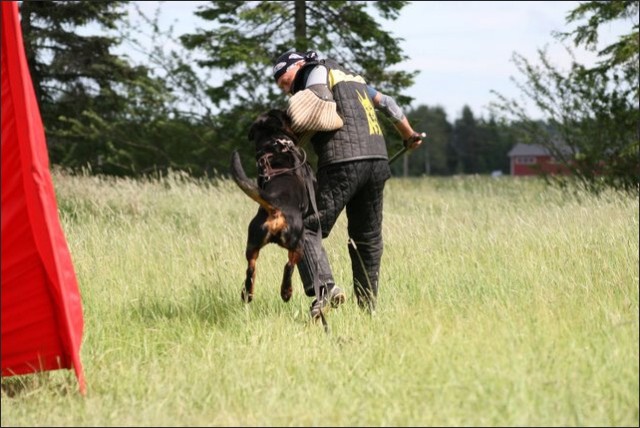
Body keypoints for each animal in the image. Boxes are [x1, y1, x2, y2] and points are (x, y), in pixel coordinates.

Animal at [230, 109, 312, 304]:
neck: (273, 143)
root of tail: (275, 205)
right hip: (298, 243)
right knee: (289, 266)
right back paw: (286, 292)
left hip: (252, 243)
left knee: (250, 269)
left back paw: (247, 294)